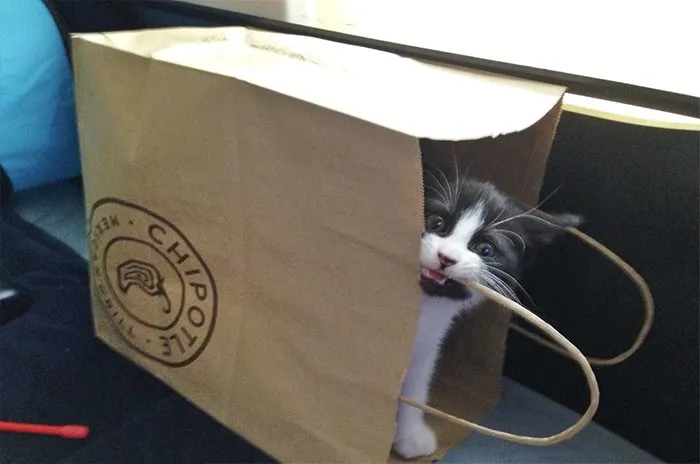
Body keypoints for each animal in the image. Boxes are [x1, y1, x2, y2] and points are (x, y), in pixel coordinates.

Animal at [392, 164, 582, 460]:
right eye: (436, 222)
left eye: (485, 249)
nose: (446, 258)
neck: (426, 306)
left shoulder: (427, 345)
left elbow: (416, 382)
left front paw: (410, 434)